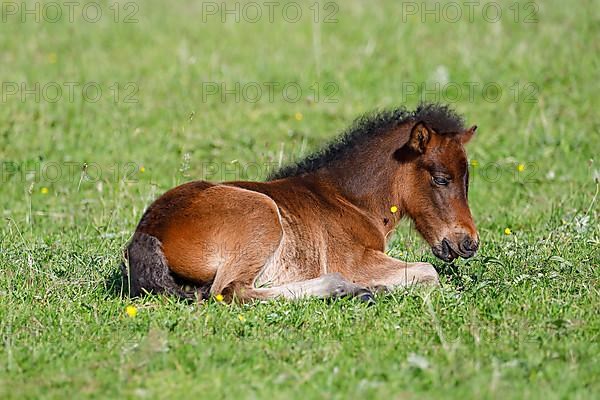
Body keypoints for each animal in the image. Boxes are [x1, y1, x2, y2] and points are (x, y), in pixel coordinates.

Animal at [122, 104, 478, 302]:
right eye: (441, 179)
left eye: (467, 180)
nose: (469, 243)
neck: (349, 200)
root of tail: (148, 230)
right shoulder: (355, 260)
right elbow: (428, 271)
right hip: (262, 213)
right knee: (230, 292)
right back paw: (347, 288)